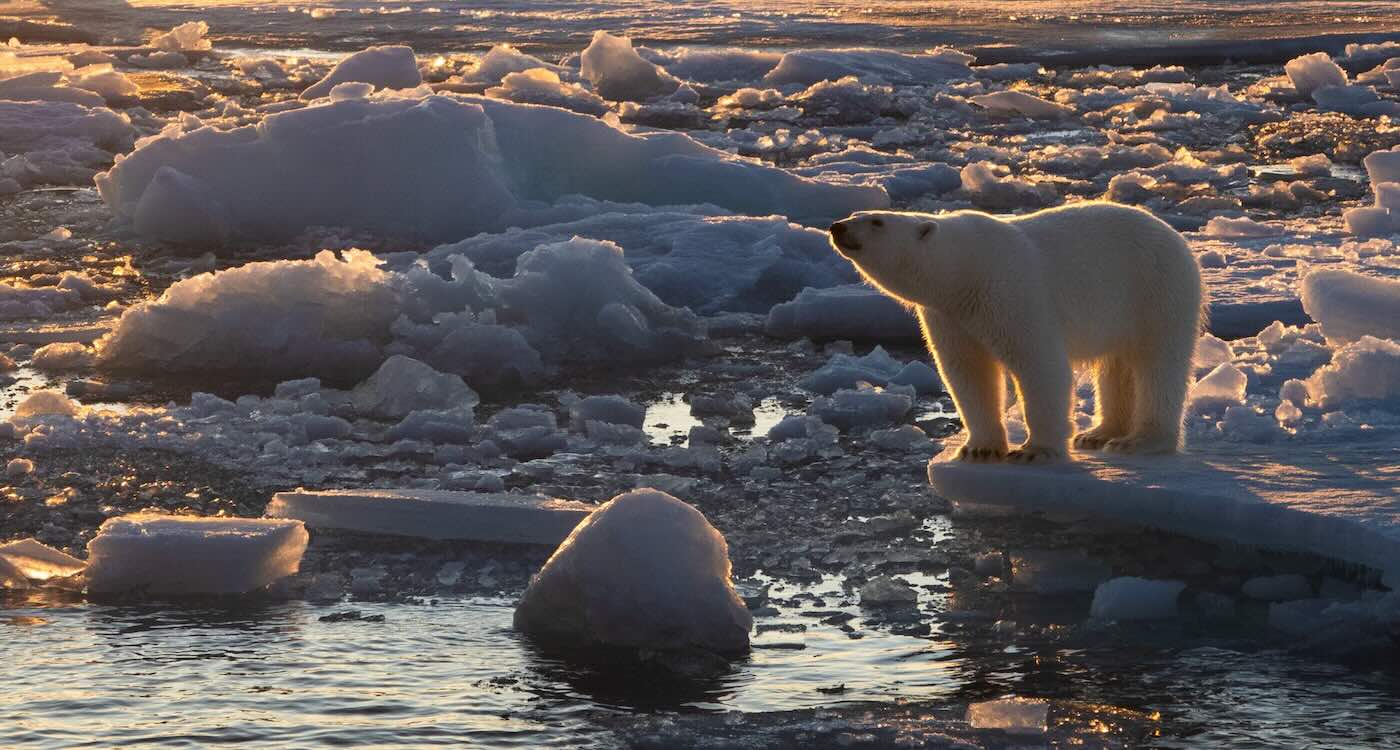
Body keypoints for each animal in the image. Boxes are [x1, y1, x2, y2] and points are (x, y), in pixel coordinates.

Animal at [829, 202, 1204, 463]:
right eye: (855, 213)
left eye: (877, 221)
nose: (837, 226)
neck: (966, 270)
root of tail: (1177, 238)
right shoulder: (950, 316)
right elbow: (968, 372)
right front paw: (979, 449)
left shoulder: (1010, 293)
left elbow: (1039, 364)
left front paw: (1034, 450)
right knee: (1116, 367)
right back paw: (1098, 434)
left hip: (1157, 290)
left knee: (1158, 364)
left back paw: (1140, 441)